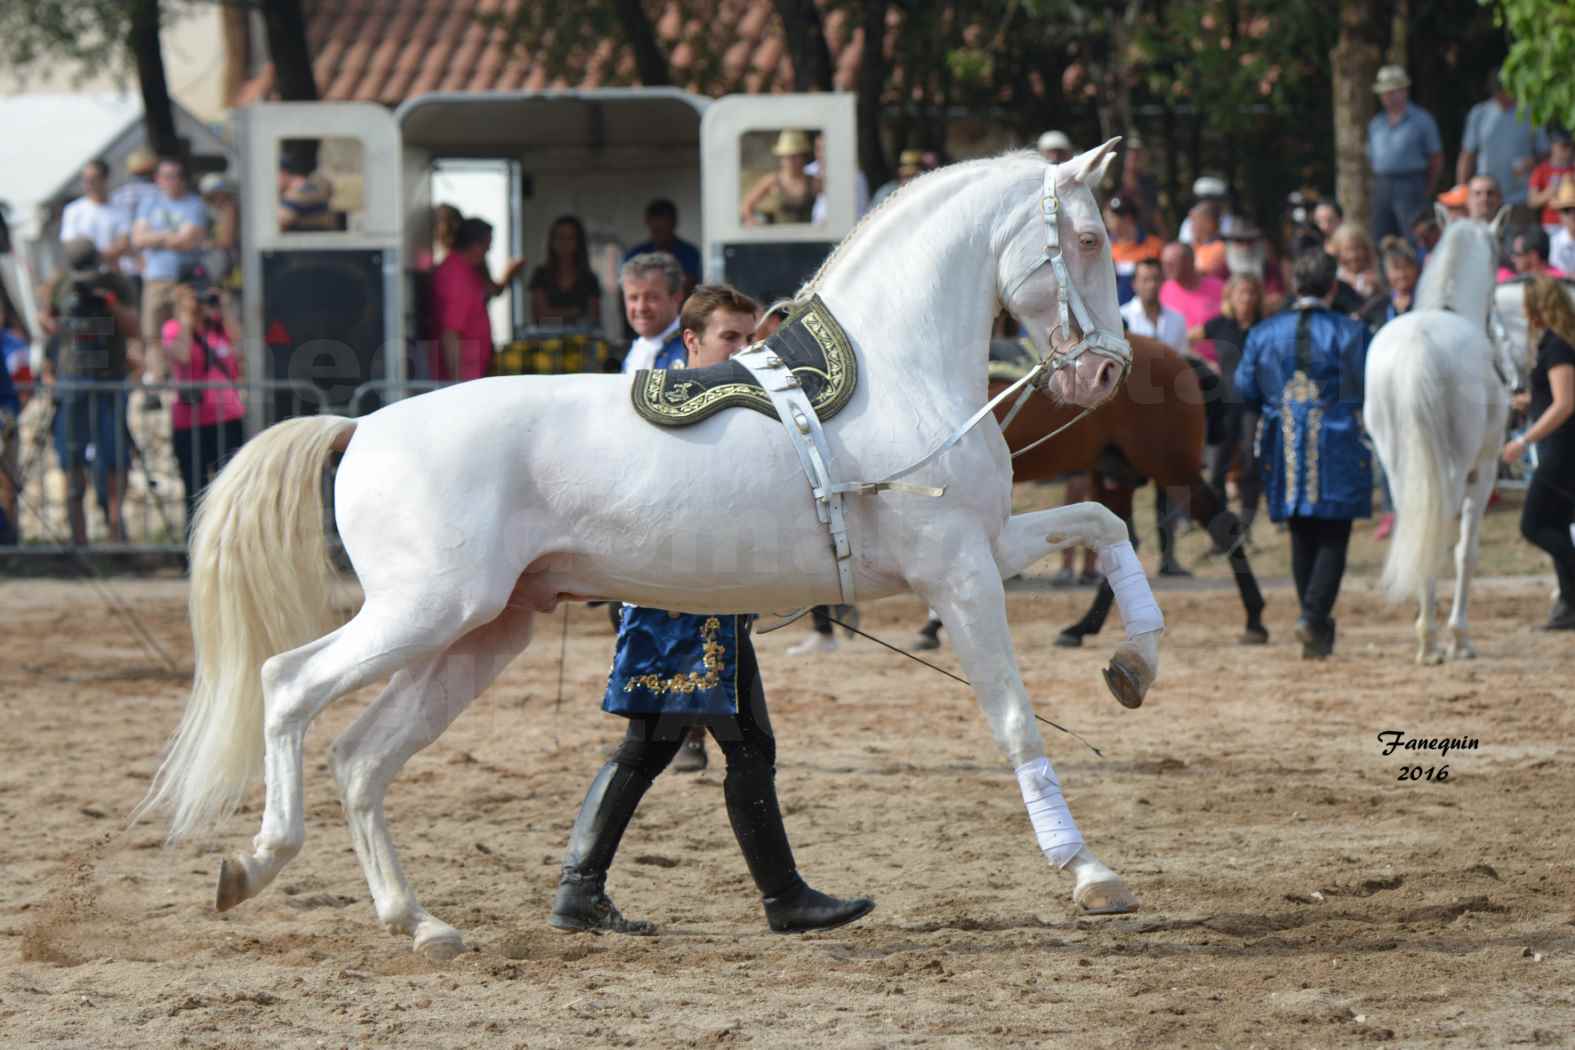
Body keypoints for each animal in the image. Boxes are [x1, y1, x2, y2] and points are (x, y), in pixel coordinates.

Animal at [138, 141, 1171, 963]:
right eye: (1088, 240)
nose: (1104, 372)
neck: (895, 377)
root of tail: (359, 428)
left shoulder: (988, 545)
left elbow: (1106, 525)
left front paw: (1131, 667)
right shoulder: (955, 573)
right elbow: (1016, 723)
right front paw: (1090, 872)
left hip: (481, 633)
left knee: (360, 755)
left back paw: (419, 922)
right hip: (423, 612)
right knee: (287, 686)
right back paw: (256, 863)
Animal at [1367, 218, 1512, 664]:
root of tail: (1419, 346)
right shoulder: (1483, 471)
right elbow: (1466, 552)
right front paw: (1459, 637)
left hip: (1398, 467)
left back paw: (1425, 636)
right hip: (1456, 470)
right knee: (1442, 540)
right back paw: (1436, 639)